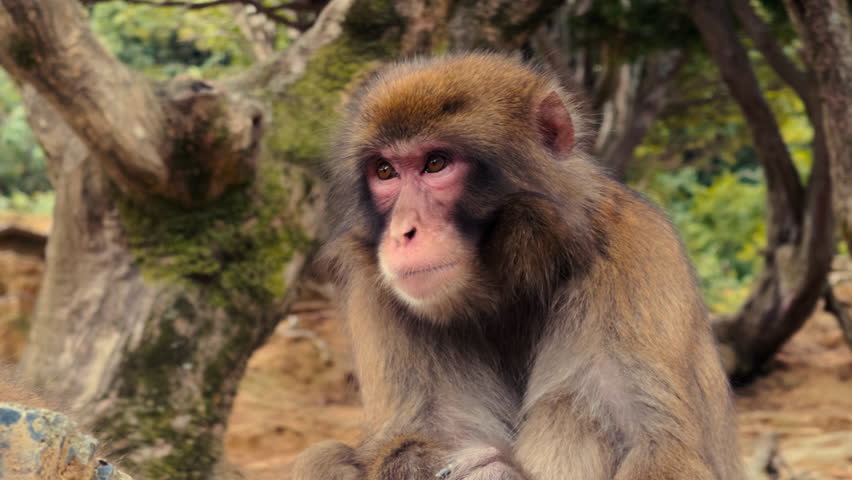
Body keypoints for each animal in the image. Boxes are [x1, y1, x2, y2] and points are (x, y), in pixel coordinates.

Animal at [290, 52, 745, 480]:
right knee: (322, 457)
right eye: (385, 171)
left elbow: (664, 452)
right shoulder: (377, 290)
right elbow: (409, 439)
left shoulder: (633, 251)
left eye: (435, 163)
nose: (404, 232)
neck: (514, 280)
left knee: (573, 411)